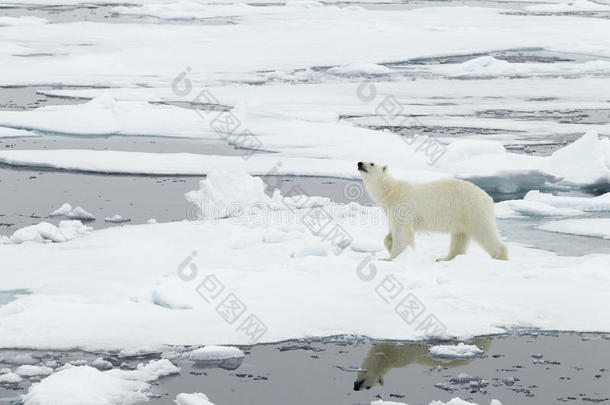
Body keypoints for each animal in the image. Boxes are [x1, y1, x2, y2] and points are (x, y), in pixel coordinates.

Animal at [358, 159, 506, 260]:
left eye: (372, 163)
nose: (359, 163)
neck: (391, 191)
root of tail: (487, 197)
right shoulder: (391, 211)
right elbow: (390, 234)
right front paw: (391, 247)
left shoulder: (402, 205)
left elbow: (402, 233)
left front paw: (390, 258)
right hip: (461, 216)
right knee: (459, 237)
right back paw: (444, 258)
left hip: (473, 209)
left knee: (485, 232)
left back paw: (500, 256)